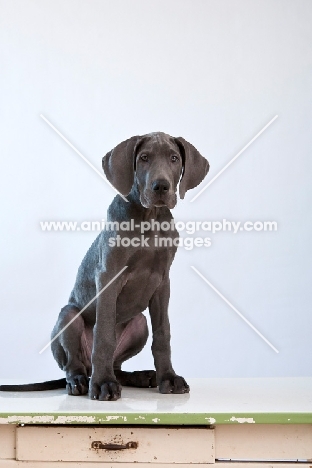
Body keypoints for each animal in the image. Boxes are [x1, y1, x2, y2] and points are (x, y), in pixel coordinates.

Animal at [0, 133, 210, 402]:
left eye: (174, 158)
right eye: (144, 158)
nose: (161, 186)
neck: (149, 219)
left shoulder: (163, 282)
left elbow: (163, 334)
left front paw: (169, 378)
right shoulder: (109, 275)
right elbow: (104, 335)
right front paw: (102, 385)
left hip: (139, 324)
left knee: (118, 365)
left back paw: (141, 377)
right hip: (68, 316)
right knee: (74, 363)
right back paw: (82, 381)